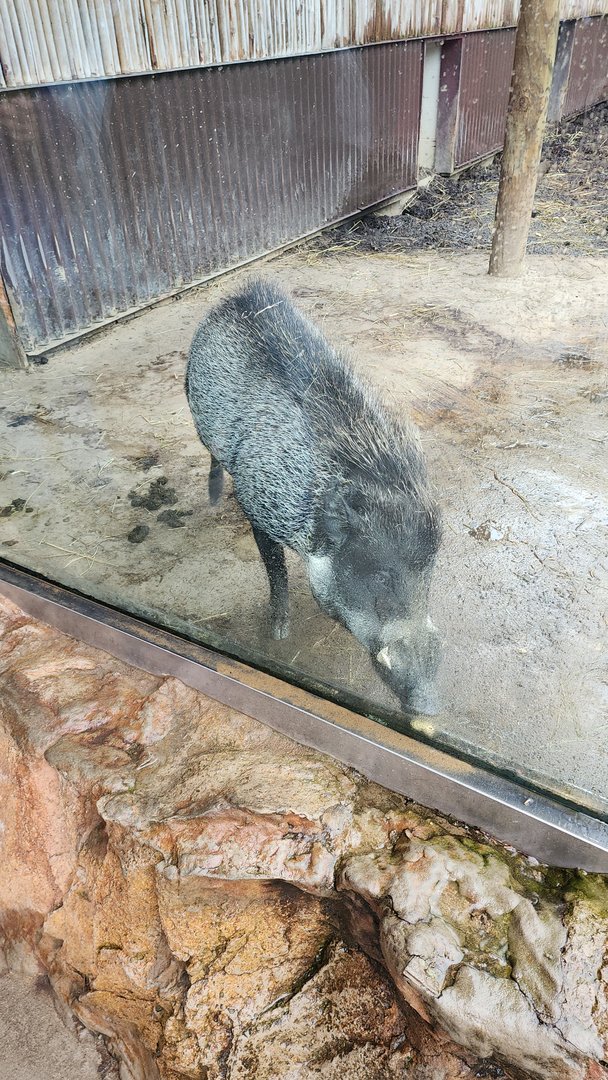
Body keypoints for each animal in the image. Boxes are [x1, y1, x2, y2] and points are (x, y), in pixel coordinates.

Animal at [185, 279, 441, 715]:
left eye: (429, 571)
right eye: (381, 574)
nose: (430, 706)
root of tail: (234, 297)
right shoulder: (257, 508)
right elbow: (275, 570)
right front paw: (278, 632)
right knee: (213, 458)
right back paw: (214, 499)